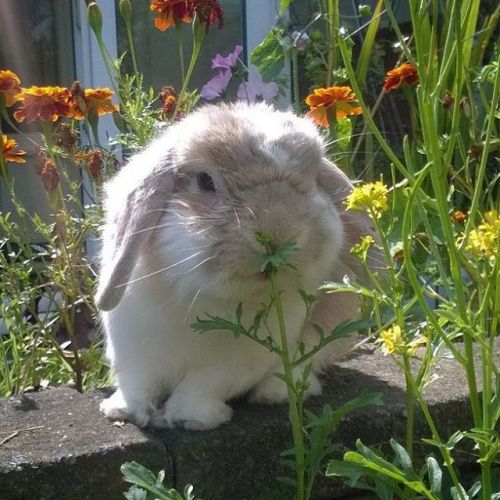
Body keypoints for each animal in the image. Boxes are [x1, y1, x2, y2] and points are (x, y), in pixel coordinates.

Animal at [94, 100, 376, 430]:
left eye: (312, 181)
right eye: (205, 181)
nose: (279, 231)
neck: (199, 294)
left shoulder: (234, 363)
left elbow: (201, 387)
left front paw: (190, 418)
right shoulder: (133, 348)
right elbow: (137, 383)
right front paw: (123, 411)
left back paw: (279, 391)